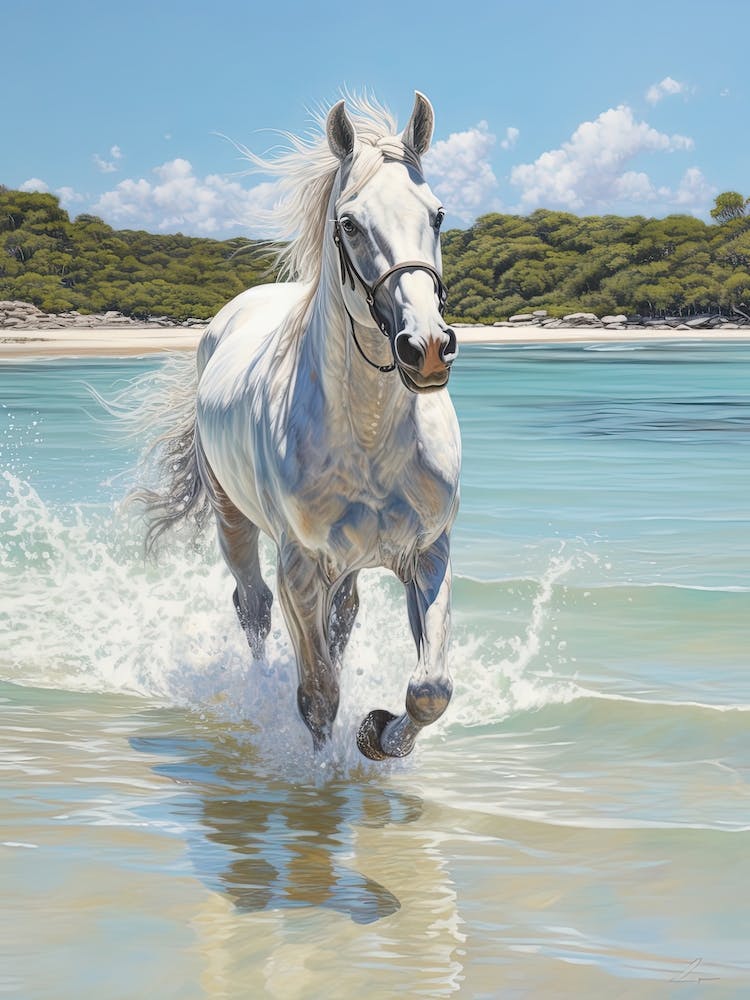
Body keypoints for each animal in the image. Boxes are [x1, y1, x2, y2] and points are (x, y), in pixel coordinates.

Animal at [137, 93, 461, 760]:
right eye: (350, 223)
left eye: (437, 215)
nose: (426, 349)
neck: (371, 435)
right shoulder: (300, 567)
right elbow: (317, 696)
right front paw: (322, 771)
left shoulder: (428, 552)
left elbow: (429, 689)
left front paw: (379, 736)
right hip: (234, 522)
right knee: (253, 608)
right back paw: (257, 693)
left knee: (342, 621)